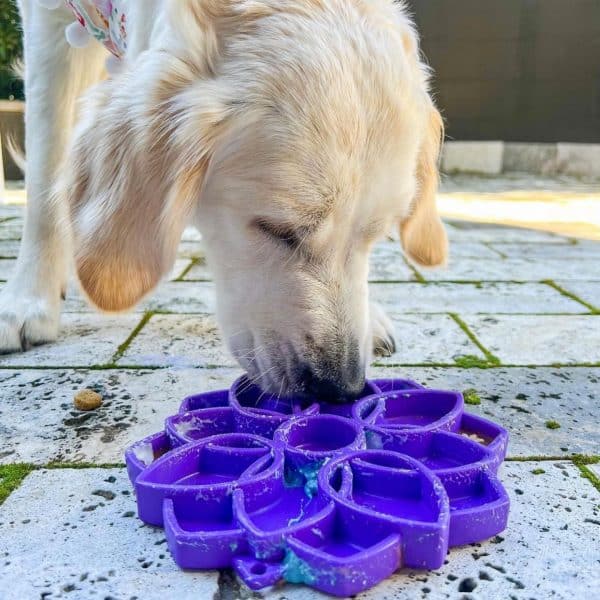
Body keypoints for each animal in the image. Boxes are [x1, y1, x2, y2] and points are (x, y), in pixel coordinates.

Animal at [0, 1, 446, 404]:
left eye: (376, 237)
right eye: (278, 230)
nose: (343, 389)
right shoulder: (46, 21)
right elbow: (46, 171)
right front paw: (27, 302)